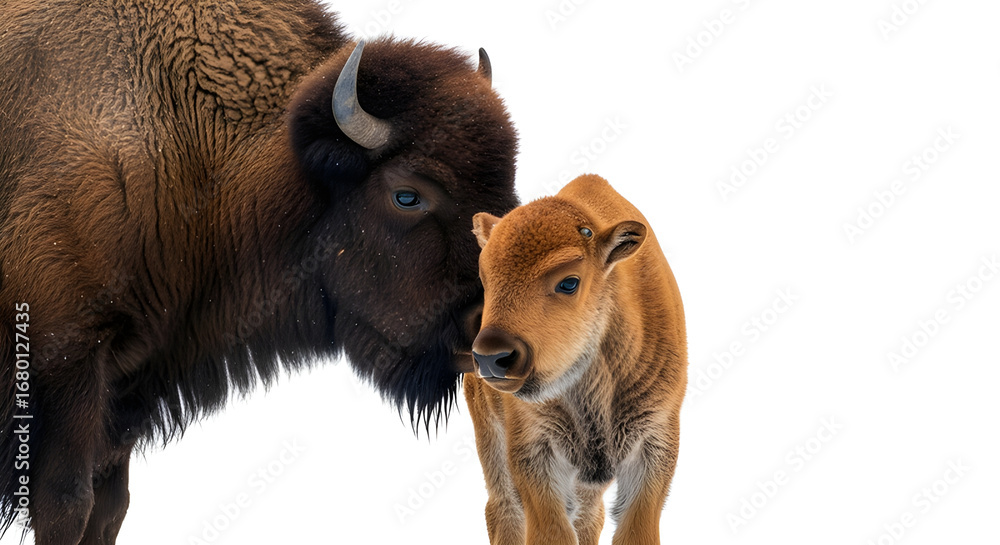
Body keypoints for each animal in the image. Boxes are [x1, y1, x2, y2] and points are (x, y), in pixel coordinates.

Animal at [0, 1, 519, 543]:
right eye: (407, 195)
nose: (489, 329)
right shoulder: (68, 363)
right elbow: (67, 505)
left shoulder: (127, 385)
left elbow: (109, 506)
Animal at [464, 174, 687, 545]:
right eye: (485, 280)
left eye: (569, 282)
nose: (492, 357)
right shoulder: (533, 447)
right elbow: (551, 531)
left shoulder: (655, 440)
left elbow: (634, 529)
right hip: (489, 430)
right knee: (504, 508)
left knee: (587, 516)